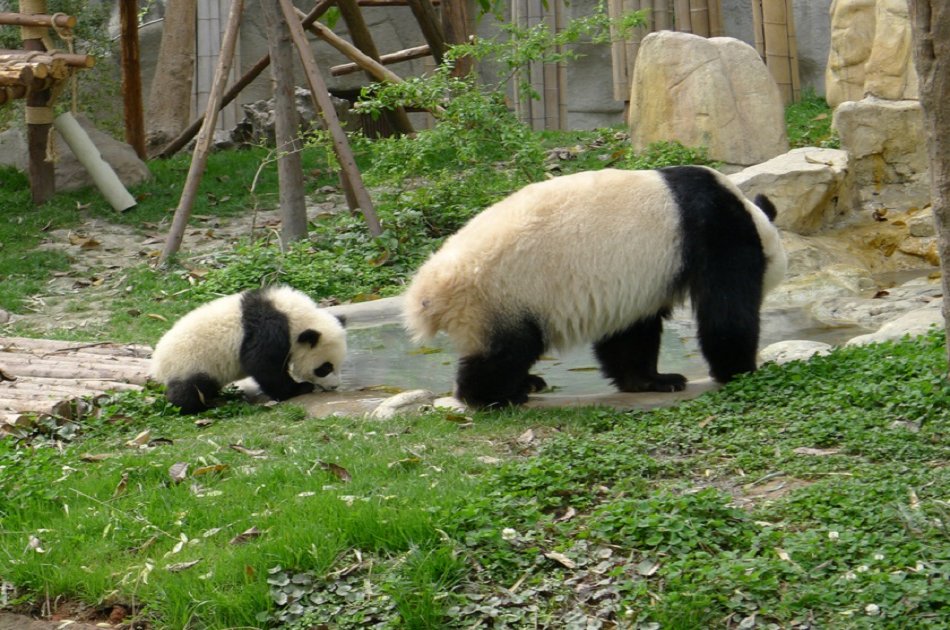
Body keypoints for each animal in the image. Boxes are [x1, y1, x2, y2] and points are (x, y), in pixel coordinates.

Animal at [150, 285, 347, 414]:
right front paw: (300, 388)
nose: (334, 386)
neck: (294, 315)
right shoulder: (268, 330)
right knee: (190, 390)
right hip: (191, 363)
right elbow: (262, 364)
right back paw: (201, 406)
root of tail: (157, 363)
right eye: (325, 368)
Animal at [403, 165, 787, 408]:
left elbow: (630, 334)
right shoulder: (716, 232)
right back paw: (497, 395)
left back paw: (526, 383)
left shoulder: (637, 282)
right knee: (507, 349)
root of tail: (428, 292)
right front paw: (742, 370)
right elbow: (726, 313)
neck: (746, 210)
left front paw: (654, 380)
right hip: (502, 293)